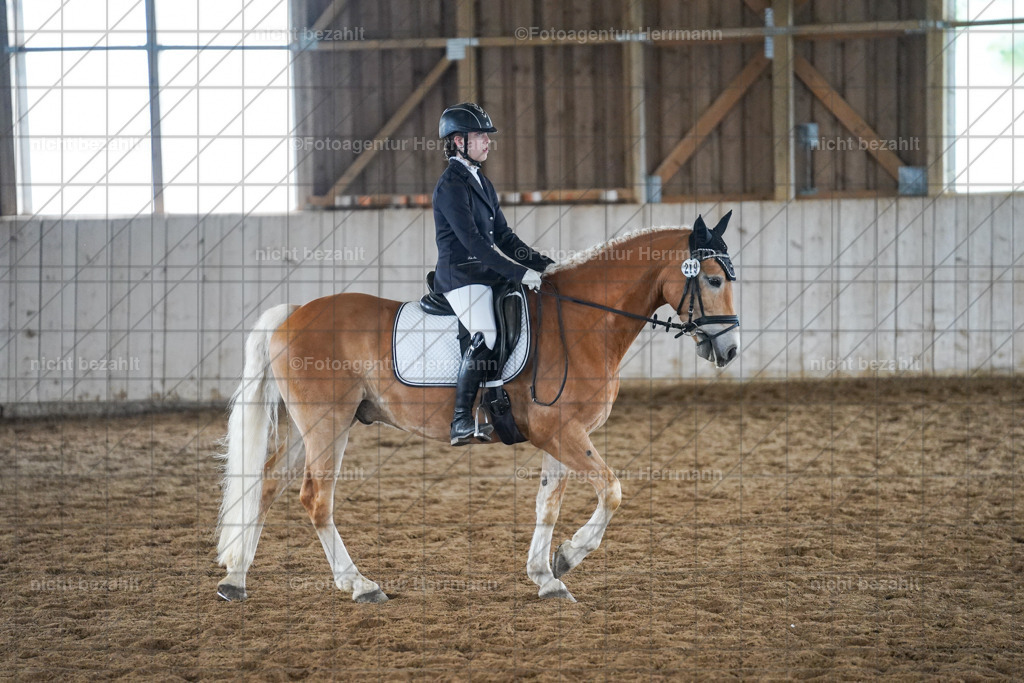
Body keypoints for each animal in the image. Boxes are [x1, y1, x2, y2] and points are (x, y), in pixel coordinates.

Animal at [215, 214, 740, 604]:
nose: (729, 350)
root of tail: (293, 314)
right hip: (326, 426)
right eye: (713, 280)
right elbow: (611, 491)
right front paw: (568, 556)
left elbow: (547, 503)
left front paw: (546, 575)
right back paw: (359, 585)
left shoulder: (563, 435)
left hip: (314, 429)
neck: (582, 320)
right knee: (315, 499)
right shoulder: (562, 433)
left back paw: (235, 580)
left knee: (266, 485)